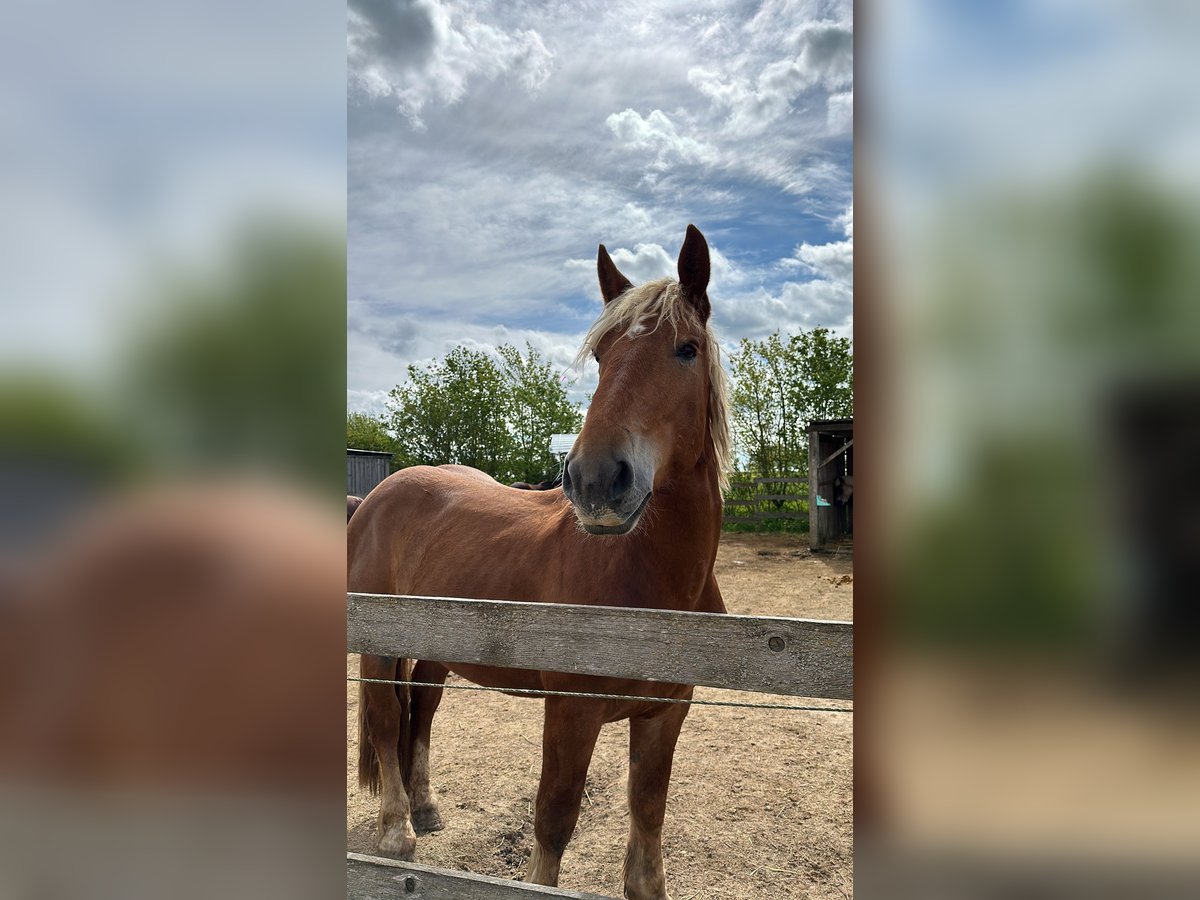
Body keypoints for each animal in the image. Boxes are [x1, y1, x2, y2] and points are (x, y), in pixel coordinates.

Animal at [348, 226, 729, 900]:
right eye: (601, 356)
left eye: (685, 350)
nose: (595, 479)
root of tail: (379, 495)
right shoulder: (571, 711)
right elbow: (553, 820)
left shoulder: (665, 715)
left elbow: (647, 819)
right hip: (378, 646)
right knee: (387, 722)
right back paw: (398, 832)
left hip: (436, 651)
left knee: (421, 712)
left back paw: (425, 808)